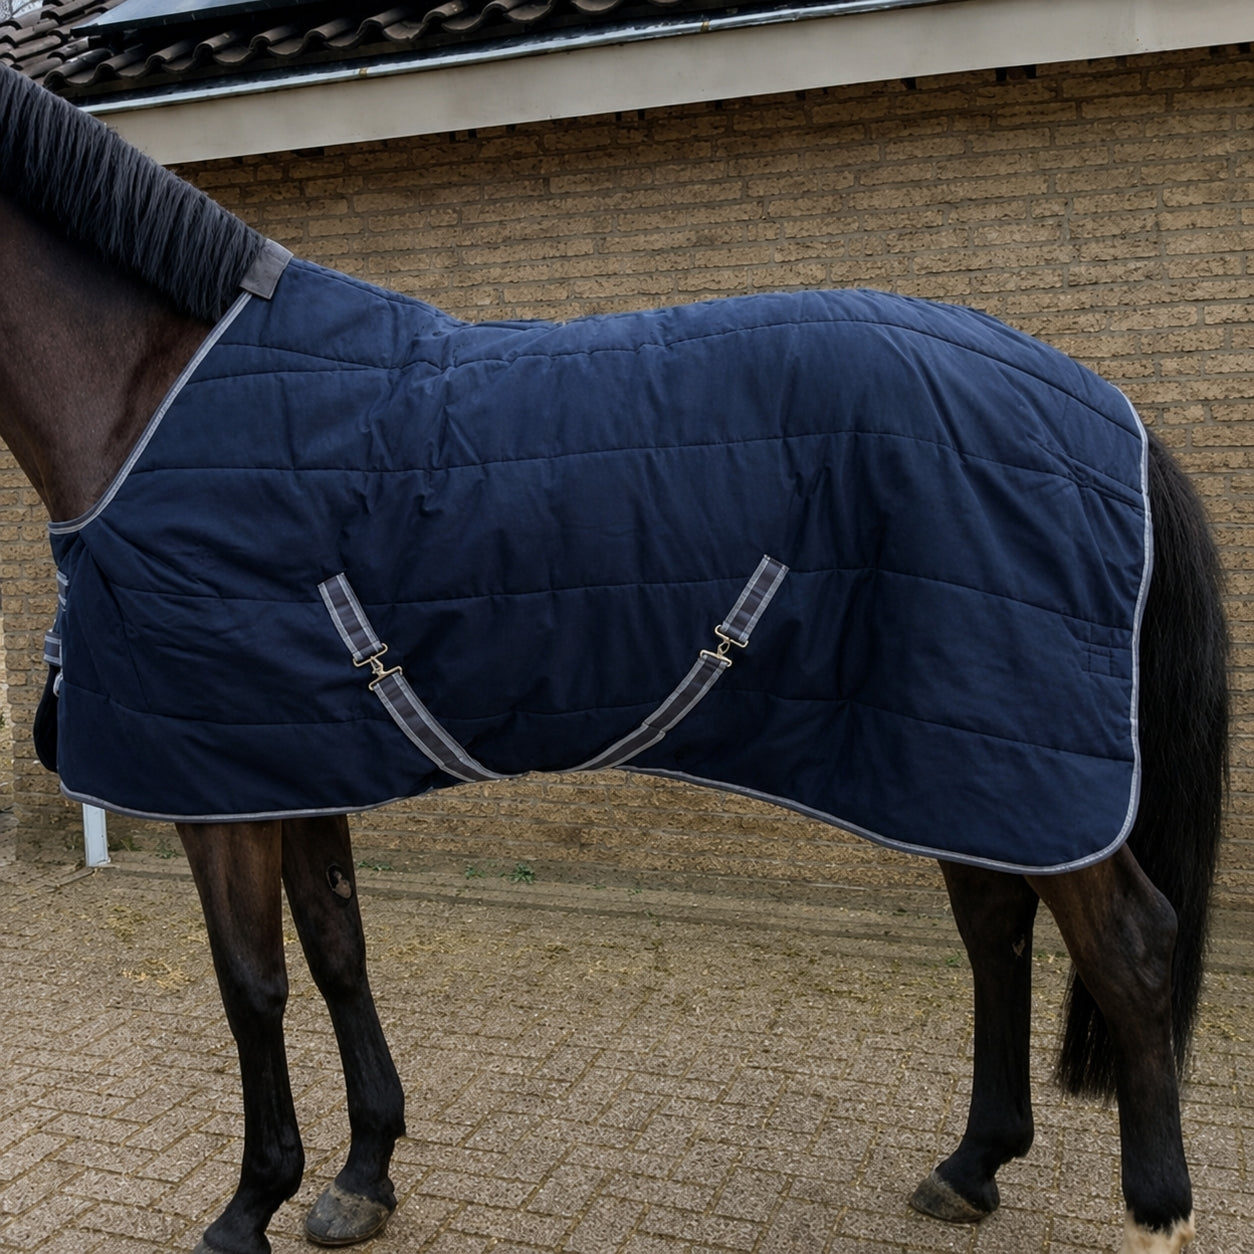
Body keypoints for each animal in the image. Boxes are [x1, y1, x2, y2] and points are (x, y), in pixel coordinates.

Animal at [0, 65, 1227, 1254]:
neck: (154, 397)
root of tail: (1103, 408)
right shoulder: (280, 762)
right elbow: (338, 950)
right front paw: (362, 1179)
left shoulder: (217, 789)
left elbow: (250, 987)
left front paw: (250, 1206)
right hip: (959, 769)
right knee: (996, 933)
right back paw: (972, 1167)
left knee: (1132, 947)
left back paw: (1159, 1212)